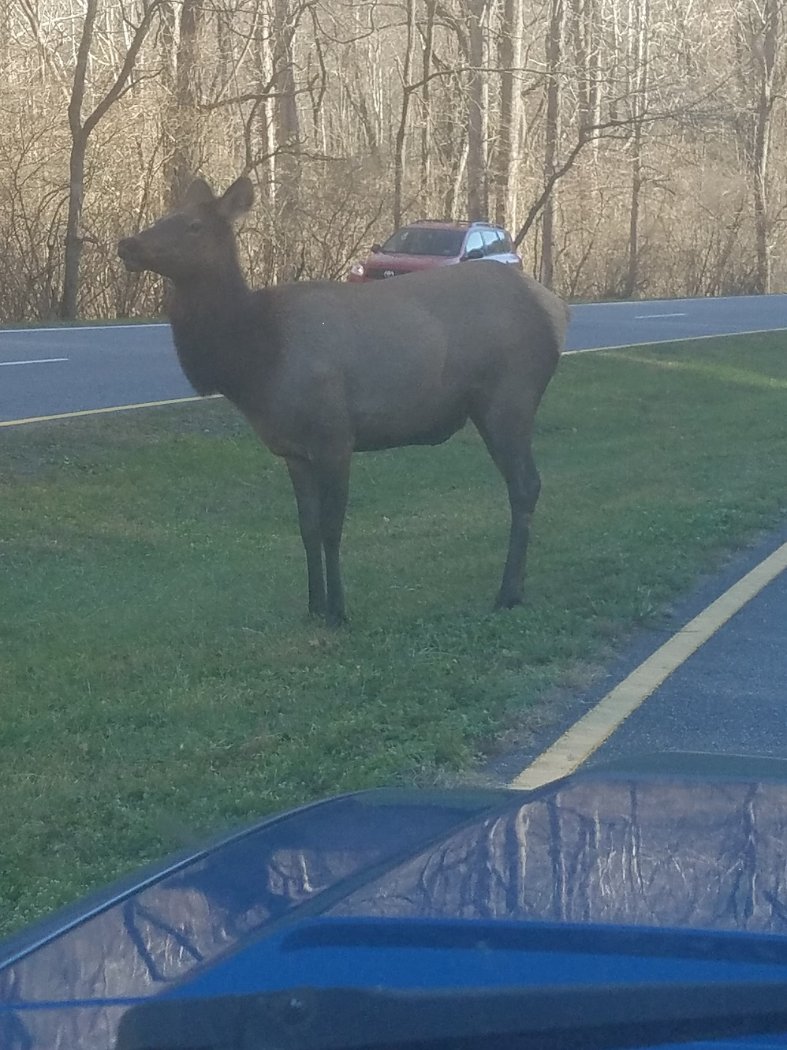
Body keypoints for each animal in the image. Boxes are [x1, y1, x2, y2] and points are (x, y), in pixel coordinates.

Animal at [118, 176, 569, 626]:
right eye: (164, 216)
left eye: (193, 225)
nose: (127, 244)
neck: (256, 361)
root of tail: (559, 311)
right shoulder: (293, 450)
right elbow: (307, 526)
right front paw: (313, 604)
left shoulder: (334, 435)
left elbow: (333, 525)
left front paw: (337, 610)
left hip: (509, 399)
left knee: (526, 485)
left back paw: (508, 593)